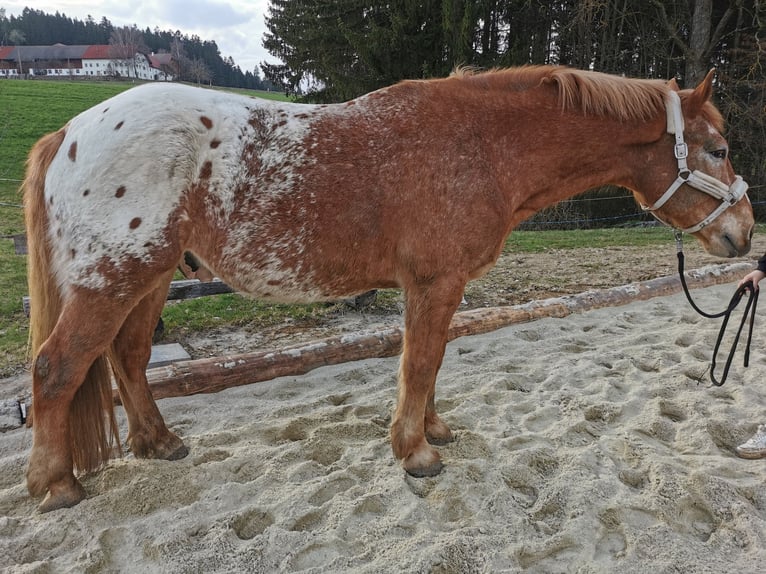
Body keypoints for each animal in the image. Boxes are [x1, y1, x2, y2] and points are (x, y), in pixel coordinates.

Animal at [24, 66, 756, 512]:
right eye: (718, 150)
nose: (744, 234)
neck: (481, 144)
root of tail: (71, 132)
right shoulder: (435, 281)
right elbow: (422, 361)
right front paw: (416, 451)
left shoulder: (432, 285)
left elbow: (427, 361)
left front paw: (432, 430)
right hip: (114, 280)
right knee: (57, 369)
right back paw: (56, 485)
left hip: (148, 278)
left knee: (128, 359)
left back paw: (158, 443)